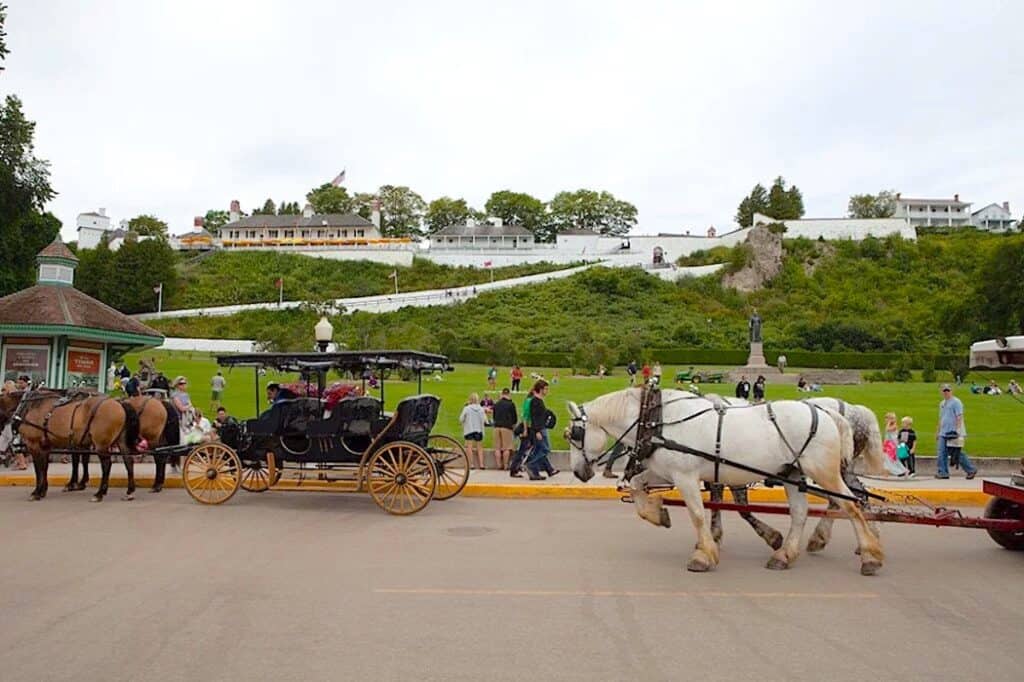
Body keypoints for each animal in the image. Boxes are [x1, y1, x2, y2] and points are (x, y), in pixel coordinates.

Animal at [0, 387, 140, 499]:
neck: (29, 406)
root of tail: (119, 403)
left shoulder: (33, 445)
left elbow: (38, 468)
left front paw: (37, 492)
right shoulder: (46, 446)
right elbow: (44, 467)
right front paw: (43, 490)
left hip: (101, 444)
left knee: (106, 464)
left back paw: (100, 493)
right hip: (120, 441)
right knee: (128, 461)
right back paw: (129, 491)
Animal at [565, 387, 884, 573]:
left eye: (574, 434)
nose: (579, 472)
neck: (658, 418)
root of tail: (829, 411)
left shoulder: (686, 475)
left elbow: (697, 514)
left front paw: (704, 554)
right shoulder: (666, 471)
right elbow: (637, 486)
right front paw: (658, 514)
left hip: (823, 471)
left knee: (851, 504)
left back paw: (869, 555)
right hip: (792, 474)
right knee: (801, 512)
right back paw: (784, 555)